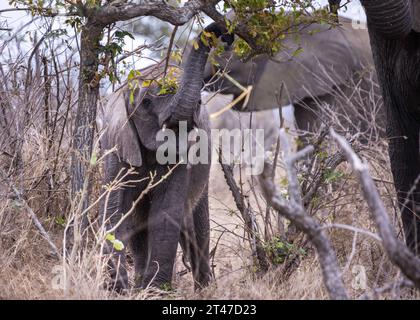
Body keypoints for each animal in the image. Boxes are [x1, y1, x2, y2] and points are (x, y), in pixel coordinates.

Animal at [96, 23, 233, 292]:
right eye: (147, 102)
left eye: (198, 103)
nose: (226, 35)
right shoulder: (117, 147)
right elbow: (116, 209)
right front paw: (123, 288)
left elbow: (166, 211)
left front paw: (155, 290)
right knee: (140, 225)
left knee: (197, 229)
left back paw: (204, 289)